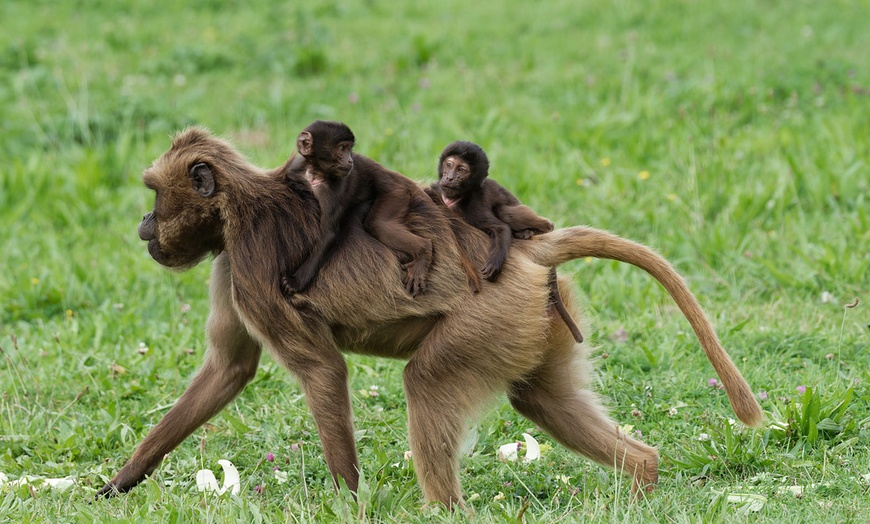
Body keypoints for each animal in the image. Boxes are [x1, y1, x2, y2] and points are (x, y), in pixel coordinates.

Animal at [284, 120, 434, 296]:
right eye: (342, 148)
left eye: (349, 149)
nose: (350, 161)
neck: (315, 173)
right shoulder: (296, 168)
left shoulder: (334, 188)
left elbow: (328, 234)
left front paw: (296, 282)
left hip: (397, 194)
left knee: (377, 224)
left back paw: (424, 250)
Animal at [432, 140, 584, 344]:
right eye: (449, 165)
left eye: (461, 169)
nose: (449, 177)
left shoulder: (474, 205)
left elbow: (501, 229)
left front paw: (494, 263)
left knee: (508, 213)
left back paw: (536, 230)